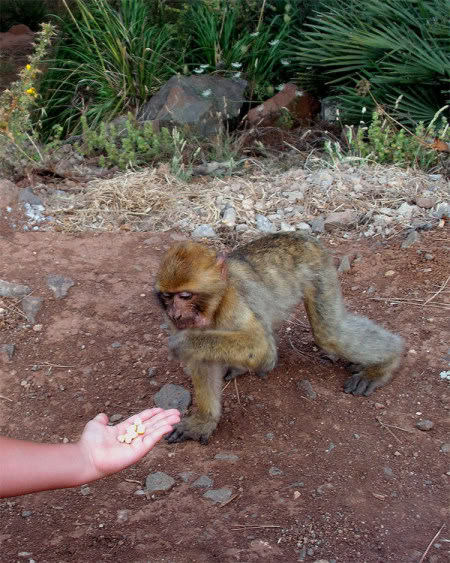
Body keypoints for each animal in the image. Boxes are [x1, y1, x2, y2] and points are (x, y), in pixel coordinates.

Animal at [155, 232, 404, 446]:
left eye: (185, 296)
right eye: (167, 297)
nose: (175, 314)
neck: (215, 305)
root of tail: (300, 235)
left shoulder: (233, 302)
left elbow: (262, 349)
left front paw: (185, 342)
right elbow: (202, 360)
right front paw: (203, 421)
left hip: (318, 270)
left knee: (329, 333)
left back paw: (386, 362)